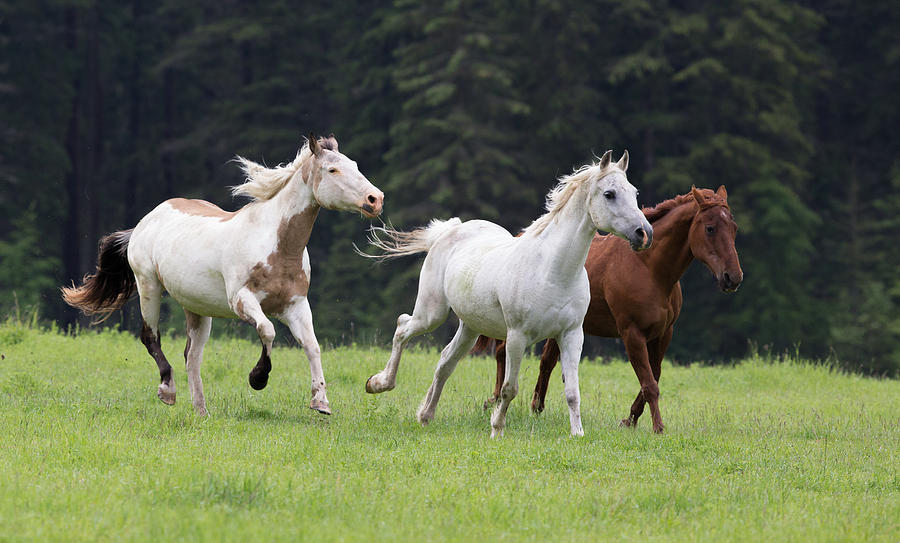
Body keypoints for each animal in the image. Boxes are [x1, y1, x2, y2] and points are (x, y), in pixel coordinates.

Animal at [61, 135, 384, 416]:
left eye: (355, 164)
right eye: (332, 169)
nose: (375, 199)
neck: (275, 244)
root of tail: (146, 220)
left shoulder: (296, 305)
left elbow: (312, 346)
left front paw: (321, 402)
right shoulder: (242, 300)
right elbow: (267, 330)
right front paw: (258, 378)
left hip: (196, 308)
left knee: (192, 357)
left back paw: (201, 411)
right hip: (148, 286)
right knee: (150, 337)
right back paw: (168, 391)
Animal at [362, 151, 652, 440]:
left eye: (635, 192)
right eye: (609, 194)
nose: (644, 233)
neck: (552, 270)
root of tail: (451, 230)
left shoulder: (571, 334)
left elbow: (572, 392)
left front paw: (577, 434)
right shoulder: (517, 337)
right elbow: (509, 388)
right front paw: (497, 429)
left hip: (470, 327)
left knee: (445, 362)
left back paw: (425, 416)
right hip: (432, 313)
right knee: (403, 327)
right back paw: (378, 384)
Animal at [482, 187, 740, 434]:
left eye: (734, 228)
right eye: (710, 228)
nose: (733, 277)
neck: (648, 268)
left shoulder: (663, 334)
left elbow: (653, 376)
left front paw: (630, 419)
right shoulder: (632, 333)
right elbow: (649, 383)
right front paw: (657, 427)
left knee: (546, 362)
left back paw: (536, 407)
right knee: (503, 353)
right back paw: (494, 401)